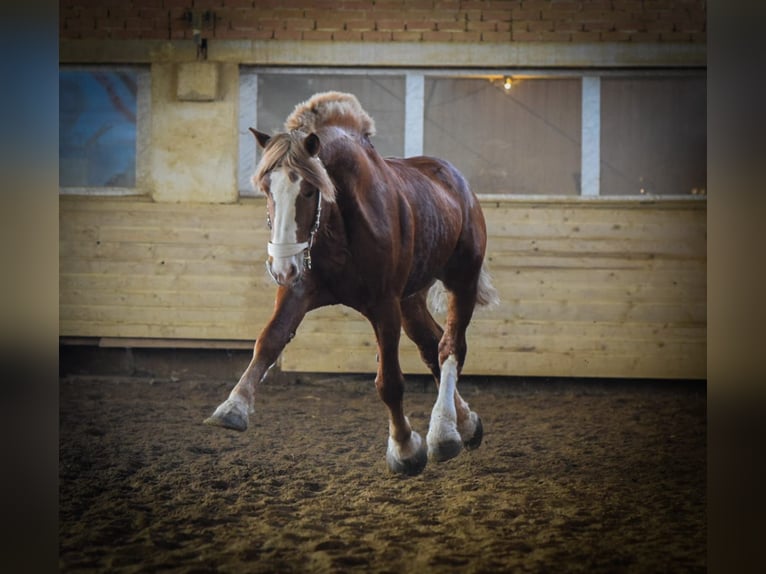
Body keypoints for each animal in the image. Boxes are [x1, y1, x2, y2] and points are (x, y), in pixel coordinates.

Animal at [204, 91, 498, 476]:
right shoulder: (299, 290)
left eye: (309, 191)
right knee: (431, 345)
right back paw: (466, 424)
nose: (281, 267)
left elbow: (389, 382)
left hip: (461, 281)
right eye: (267, 188)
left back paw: (444, 432)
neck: (339, 224)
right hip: (411, 299)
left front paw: (405, 449)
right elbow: (269, 341)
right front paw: (233, 406)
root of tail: (457, 182)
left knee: (451, 348)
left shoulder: (384, 305)